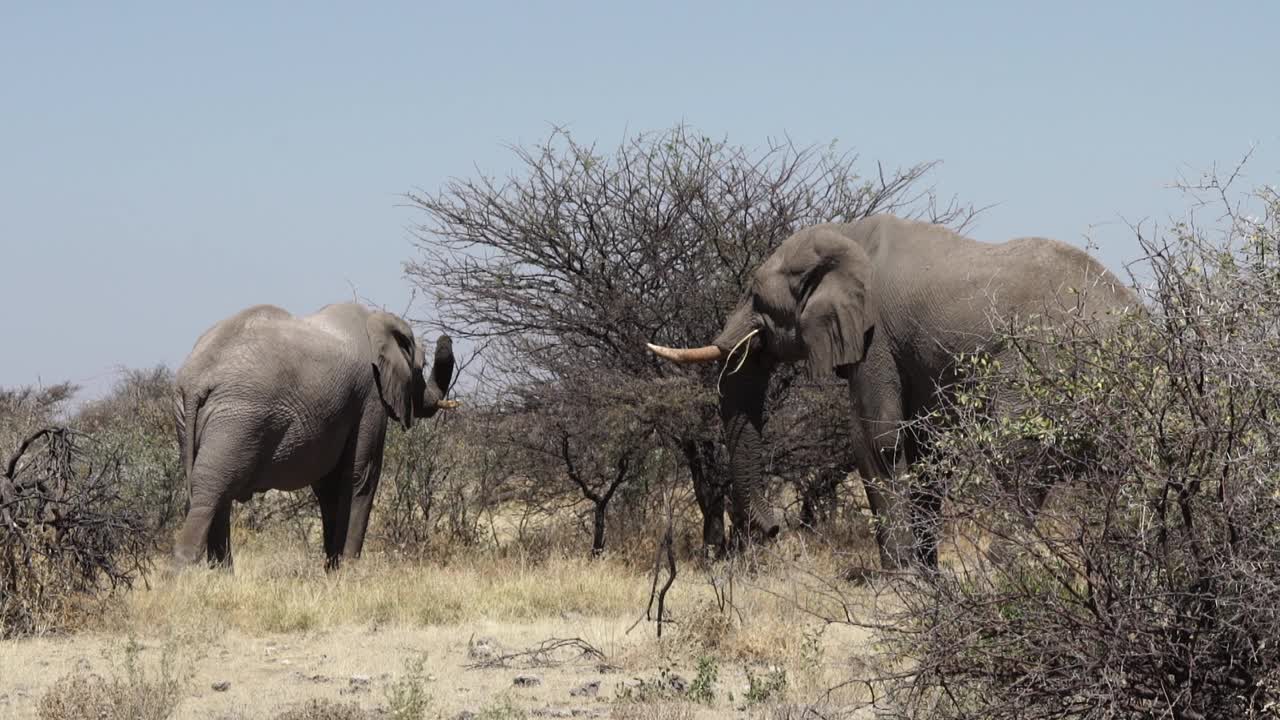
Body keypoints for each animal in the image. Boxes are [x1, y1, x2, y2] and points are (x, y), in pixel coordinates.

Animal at [650, 212, 1141, 566]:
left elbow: (876, 437)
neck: (844, 235)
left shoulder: (876, 336)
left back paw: (1001, 569)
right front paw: (926, 575)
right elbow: (926, 448)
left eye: (755, 294)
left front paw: (899, 578)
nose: (772, 532)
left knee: (1016, 454)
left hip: (1039, 360)